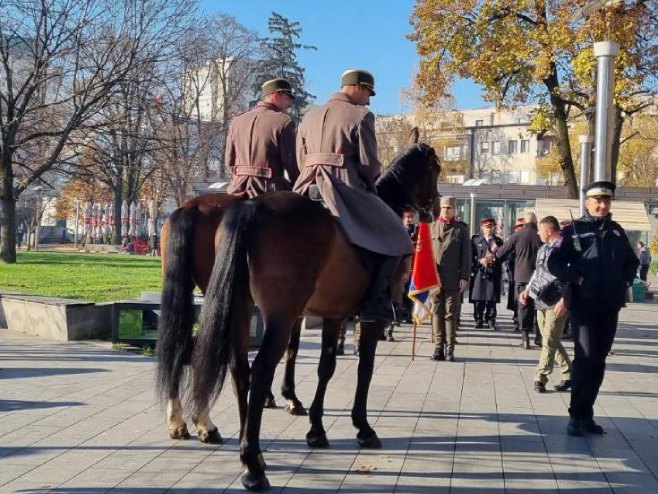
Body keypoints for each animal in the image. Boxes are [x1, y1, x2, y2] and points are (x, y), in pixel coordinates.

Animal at [156, 137, 438, 492]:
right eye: (435, 168)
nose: (436, 207)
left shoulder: (331, 314)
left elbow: (325, 366)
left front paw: (314, 427)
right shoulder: (364, 318)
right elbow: (362, 367)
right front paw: (360, 426)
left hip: (233, 306)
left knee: (225, 362)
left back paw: (212, 432)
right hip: (268, 311)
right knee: (254, 365)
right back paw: (247, 460)